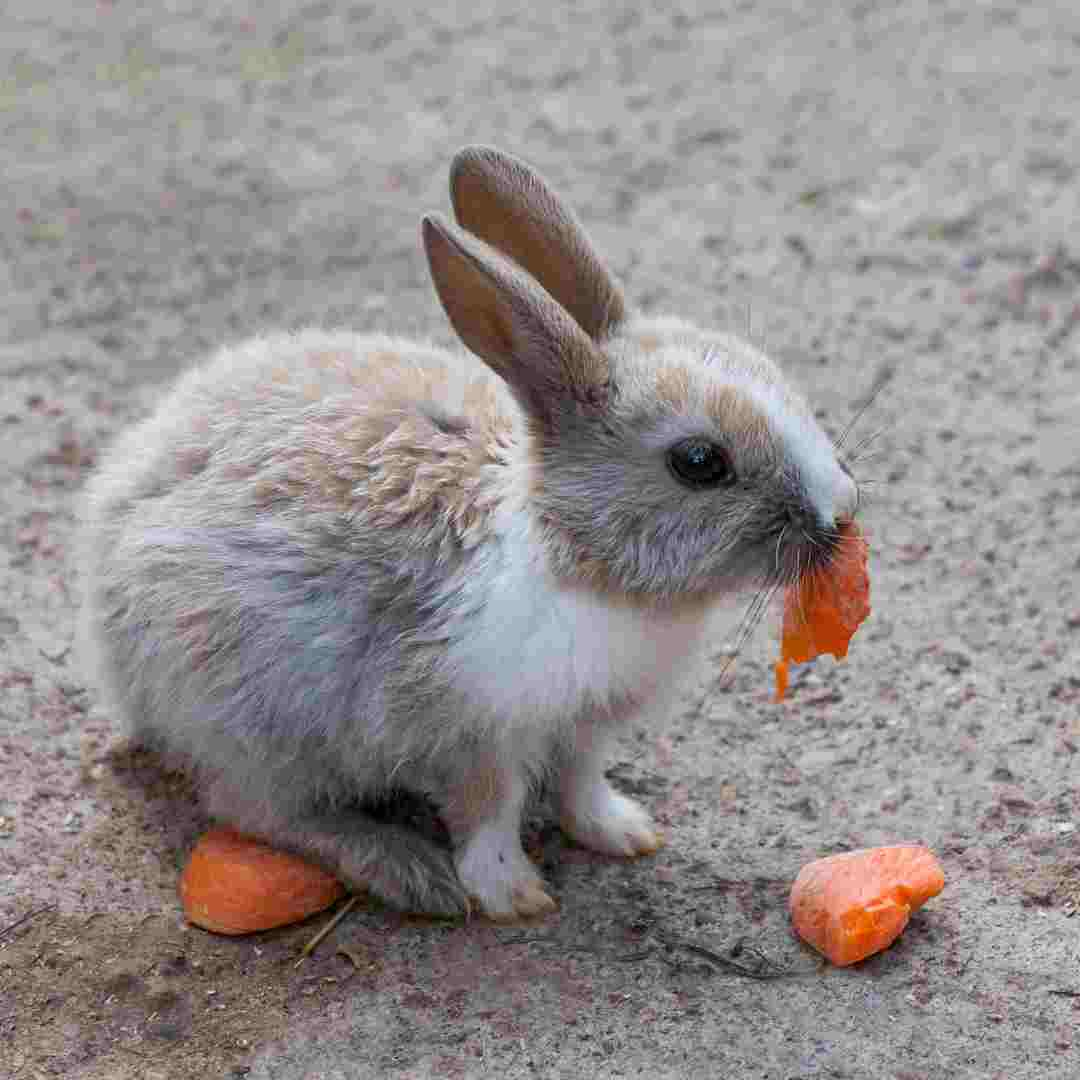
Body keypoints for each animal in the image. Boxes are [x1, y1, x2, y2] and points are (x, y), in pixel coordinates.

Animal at [79, 143, 859, 920]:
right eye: (700, 462)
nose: (841, 515)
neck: (577, 553)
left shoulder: (585, 722)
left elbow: (580, 780)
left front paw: (625, 833)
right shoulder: (470, 728)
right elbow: (489, 812)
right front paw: (512, 895)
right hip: (254, 720)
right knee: (256, 809)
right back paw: (405, 869)